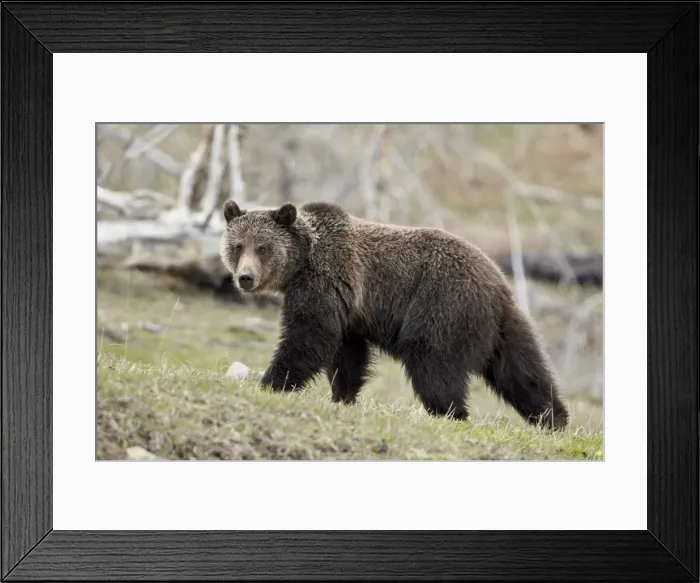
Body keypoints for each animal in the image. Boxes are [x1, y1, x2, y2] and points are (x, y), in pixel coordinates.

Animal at [219, 198, 569, 430]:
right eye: (237, 246)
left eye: (263, 247)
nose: (245, 278)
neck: (302, 261)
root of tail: (497, 282)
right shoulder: (350, 308)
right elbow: (347, 353)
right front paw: (343, 395)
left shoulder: (326, 279)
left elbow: (309, 335)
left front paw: (272, 382)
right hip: (504, 325)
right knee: (523, 371)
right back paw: (554, 419)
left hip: (442, 305)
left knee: (432, 361)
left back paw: (449, 413)